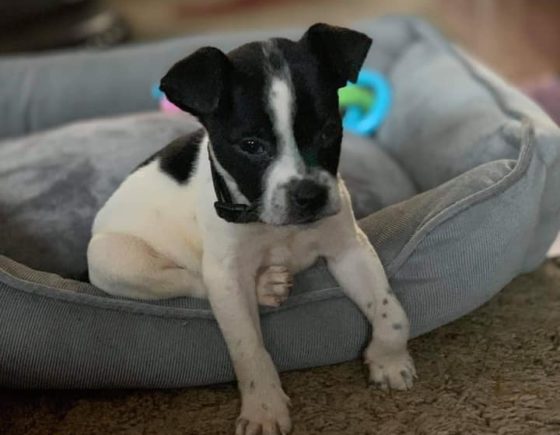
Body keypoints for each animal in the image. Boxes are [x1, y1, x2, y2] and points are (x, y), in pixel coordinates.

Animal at [88, 24, 416, 435]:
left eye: (328, 131)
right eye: (251, 145)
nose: (309, 195)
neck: (269, 222)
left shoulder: (349, 248)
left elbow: (391, 310)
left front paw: (389, 358)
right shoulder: (227, 274)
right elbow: (247, 346)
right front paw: (263, 407)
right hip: (114, 259)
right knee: (193, 280)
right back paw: (264, 287)